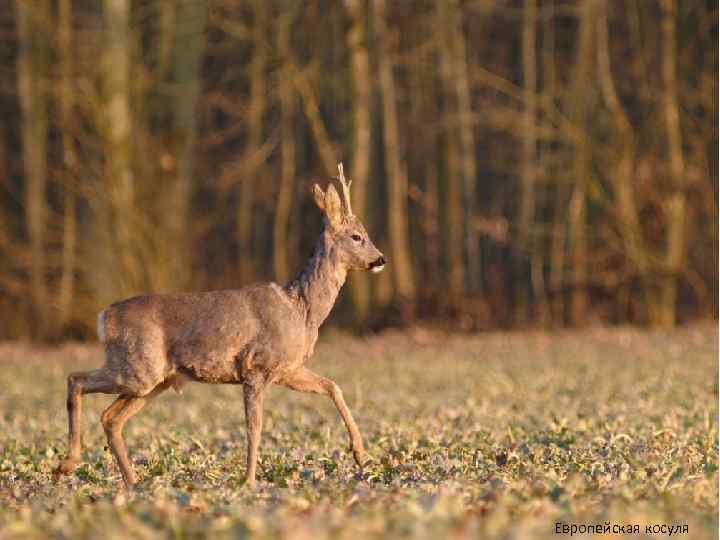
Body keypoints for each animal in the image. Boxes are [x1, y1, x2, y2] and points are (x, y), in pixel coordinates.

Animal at [53, 165, 386, 490]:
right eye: (357, 236)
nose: (381, 259)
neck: (301, 310)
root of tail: (104, 317)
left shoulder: (287, 369)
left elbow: (332, 386)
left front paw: (360, 454)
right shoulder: (256, 367)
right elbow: (254, 427)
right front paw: (249, 482)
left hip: (154, 380)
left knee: (110, 418)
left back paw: (133, 483)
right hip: (139, 369)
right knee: (76, 379)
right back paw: (68, 465)